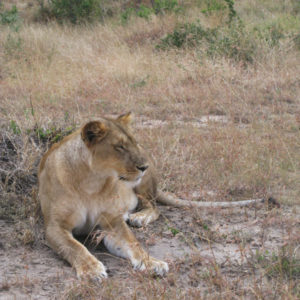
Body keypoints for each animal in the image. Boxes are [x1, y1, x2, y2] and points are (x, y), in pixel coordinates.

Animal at [38, 112, 278, 278]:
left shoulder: (111, 223)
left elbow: (133, 244)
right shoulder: (54, 227)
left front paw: (151, 262)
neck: (92, 183)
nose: (143, 166)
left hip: (142, 187)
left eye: (133, 142)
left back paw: (138, 217)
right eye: (119, 147)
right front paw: (92, 270)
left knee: (154, 207)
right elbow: (75, 247)